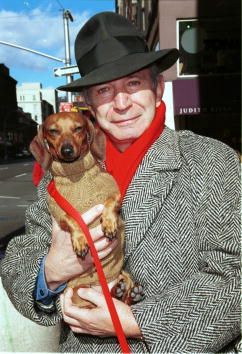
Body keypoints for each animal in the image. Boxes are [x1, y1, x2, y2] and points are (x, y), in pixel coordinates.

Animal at [31, 112, 143, 308]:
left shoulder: (114, 194)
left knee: (124, 295)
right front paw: (80, 240)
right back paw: (118, 292)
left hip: (122, 274)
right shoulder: (60, 214)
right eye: (53, 131)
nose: (67, 150)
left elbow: (109, 203)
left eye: (78, 128)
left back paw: (127, 292)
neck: (76, 174)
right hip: (79, 293)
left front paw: (109, 224)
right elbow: (72, 219)